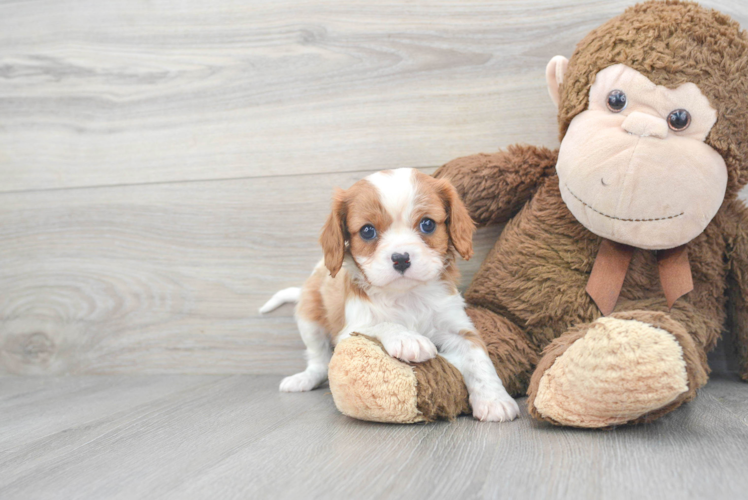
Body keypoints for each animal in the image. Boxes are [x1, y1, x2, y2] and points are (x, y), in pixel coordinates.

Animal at [262, 168, 520, 422]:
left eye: (427, 224)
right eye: (367, 231)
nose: (401, 258)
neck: (407, 295)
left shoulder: (458, 328)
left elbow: (478, 358)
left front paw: (494, 399)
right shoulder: (350, 330)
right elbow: (381, 324)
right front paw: (408, 339)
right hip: (309, 319)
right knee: (318, 359)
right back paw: (303, 379)